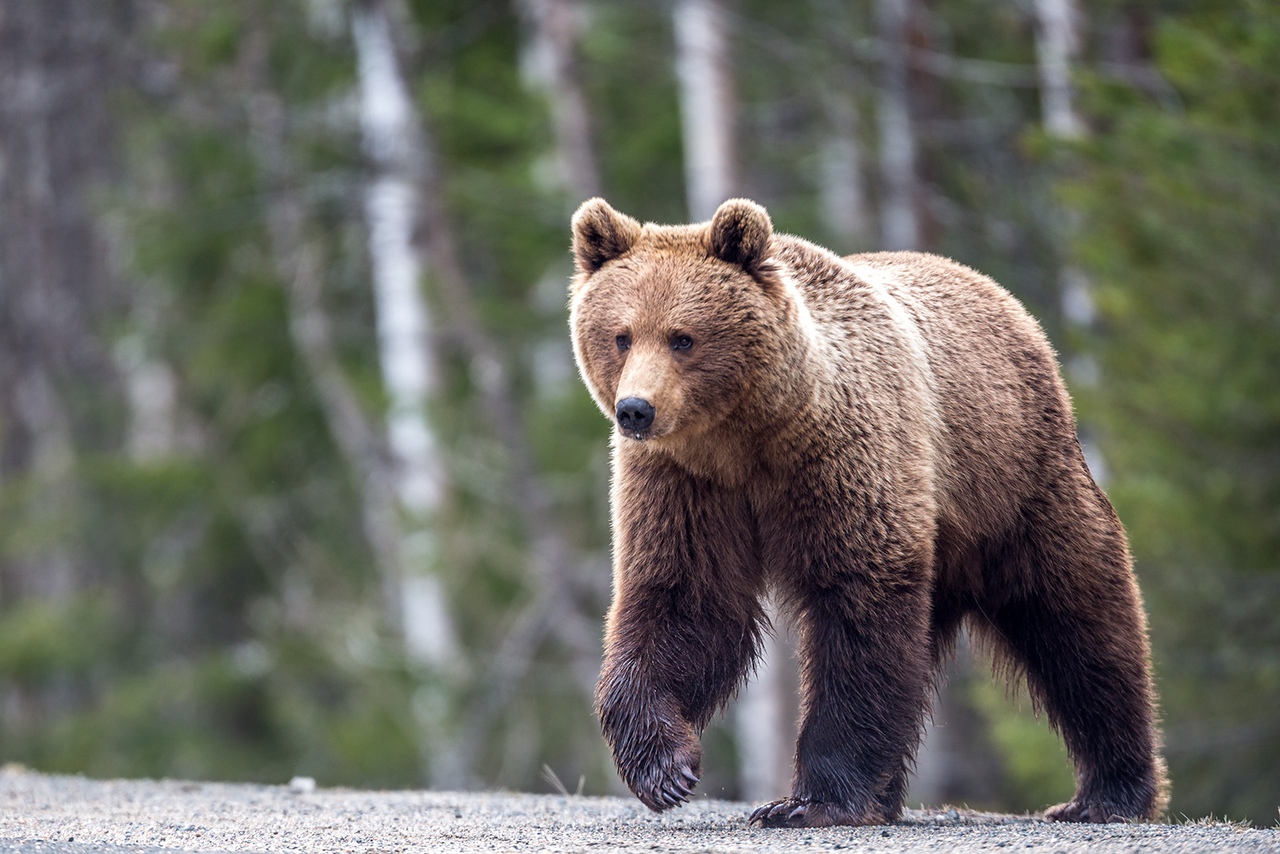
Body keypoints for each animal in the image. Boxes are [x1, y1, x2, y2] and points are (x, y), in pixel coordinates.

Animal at [570, 195, 1172, 829]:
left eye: (682, 337)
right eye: (621, 335)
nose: (636, 409)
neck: (748, 437)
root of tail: (1010, 308)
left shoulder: (843, 456)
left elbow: (858, 605)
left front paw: (807, 802)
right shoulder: (687, 483)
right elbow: (683, 598)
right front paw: (665, 768)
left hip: (1013, 482)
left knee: (1079, 622)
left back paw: (1108, 792)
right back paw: (889, 798)